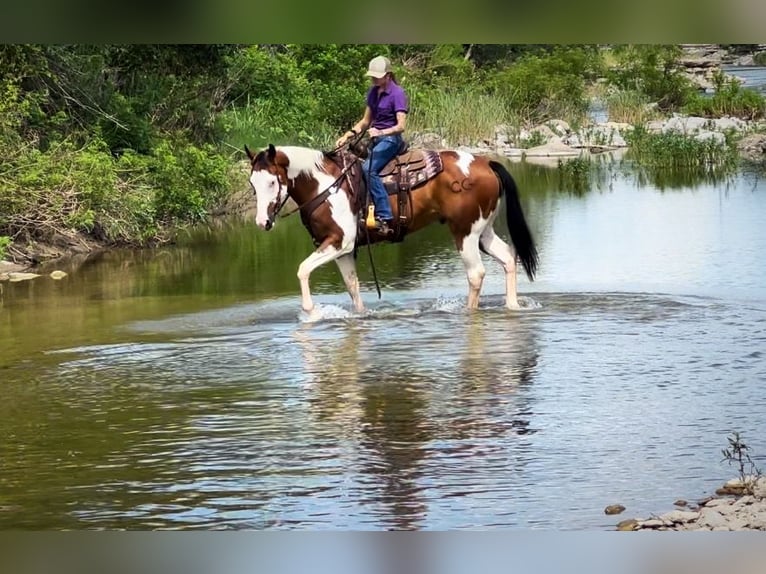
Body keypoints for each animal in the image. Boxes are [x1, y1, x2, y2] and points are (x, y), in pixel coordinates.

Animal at [244, 142, 538, 316]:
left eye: (272, 182)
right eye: (252, 183)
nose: (262, 222)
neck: (325, 186)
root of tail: (486, 163)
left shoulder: (339, 241)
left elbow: (302, 269)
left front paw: (309, 311)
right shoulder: (342, 251)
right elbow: (352, 286)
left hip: (465, 232)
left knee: (476, 274)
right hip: (482, 232)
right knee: (508, 257)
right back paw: (512, 306)